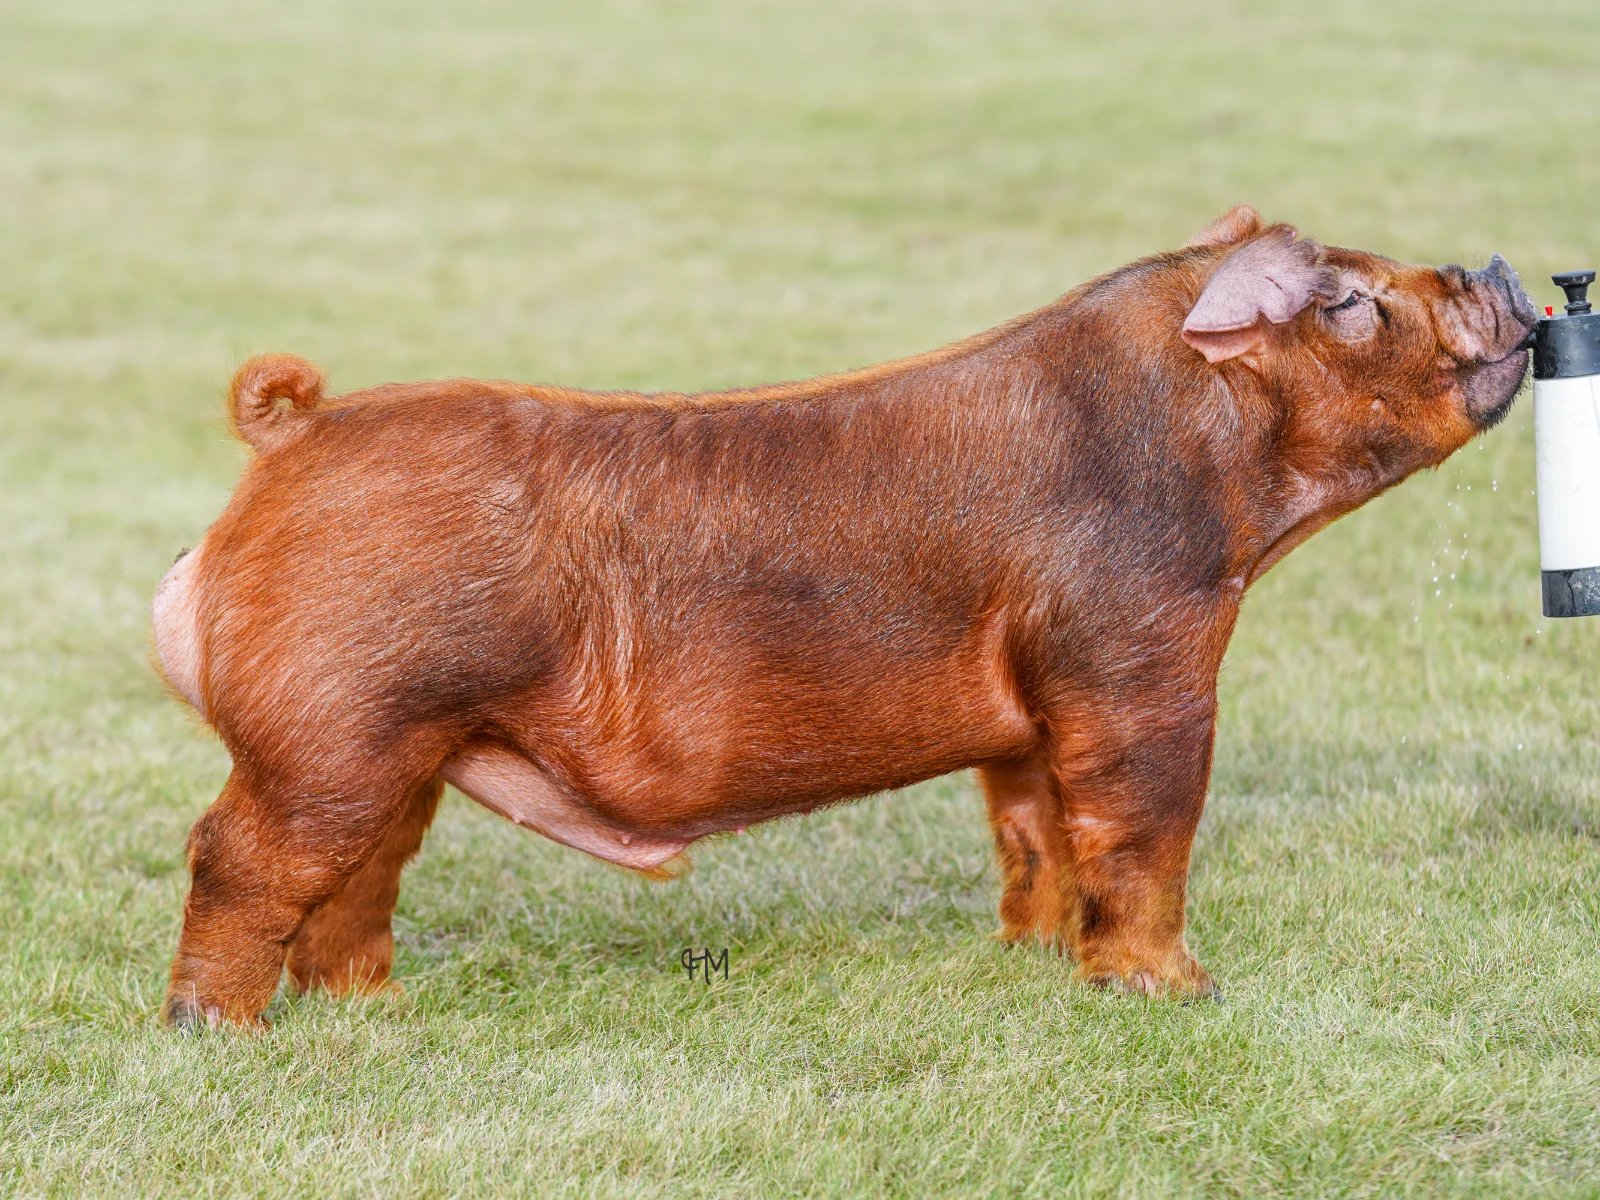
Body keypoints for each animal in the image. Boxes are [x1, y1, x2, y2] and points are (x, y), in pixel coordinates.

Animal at [153, 206, 1536, 1028]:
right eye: (1348, 303)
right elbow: (1143, 820)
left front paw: (1032, 961)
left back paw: (375, 1016)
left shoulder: (1033, 707)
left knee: (358, 876)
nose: (1501, 265)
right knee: (237, 856)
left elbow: (1034, 827)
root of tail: (294, 435)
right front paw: (1177, 995)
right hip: (329, 729)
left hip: (400, 743)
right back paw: (220, 1032)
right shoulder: (1134, 650)